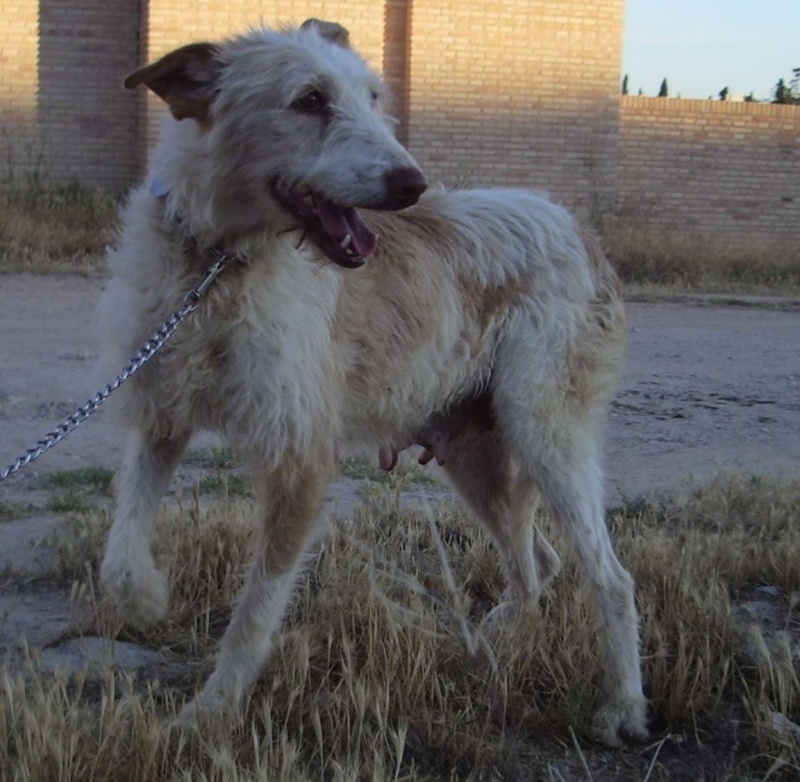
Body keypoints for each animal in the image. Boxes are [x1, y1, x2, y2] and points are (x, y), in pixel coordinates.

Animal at [98, 16, 648, 740]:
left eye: (374, 98)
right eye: (309, 101)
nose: (412, 183)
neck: (216, 265)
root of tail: (579, 230)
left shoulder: (301, 458)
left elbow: (256, 609)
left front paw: (211, 712)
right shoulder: (161, 415)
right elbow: (121, 546)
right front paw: (145, 600)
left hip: (546, 435)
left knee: (610, 578)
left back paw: (624, 706)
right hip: (478, 461)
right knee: (540, 563)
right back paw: (498, 639)